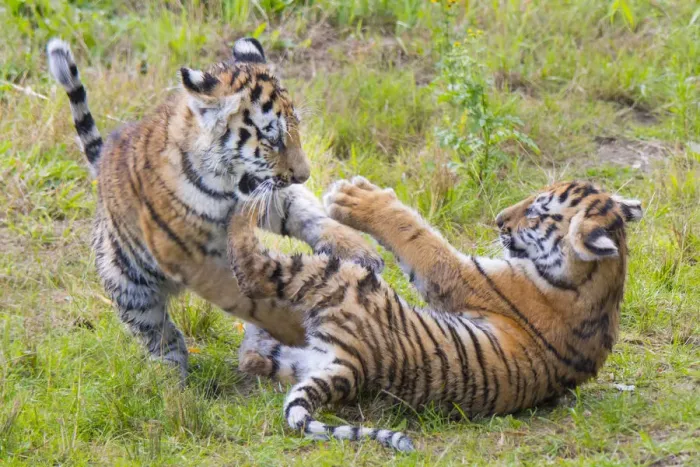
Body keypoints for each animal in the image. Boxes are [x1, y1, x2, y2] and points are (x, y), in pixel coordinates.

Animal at [46, 38, 382, 382]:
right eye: (272, 137)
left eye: (296, 129)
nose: (304, 175)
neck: (225, 183)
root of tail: (101, 165)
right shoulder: (192, 258)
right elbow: (248, 300)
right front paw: (293, 327)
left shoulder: (263, 196)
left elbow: (305, 213)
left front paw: (359, 250)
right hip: (129, 287)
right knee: (162, 336)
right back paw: (171, 382)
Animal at [227, 176, 643, 451]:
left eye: (537, 212)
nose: (499, 219)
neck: (603, 278)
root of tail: (354, 368)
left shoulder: (460, 276)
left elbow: (418, 237)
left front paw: (357, 197)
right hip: (298, 357)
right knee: (252, 355)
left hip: (345, 280)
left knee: (254, 266)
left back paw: (242, 209)